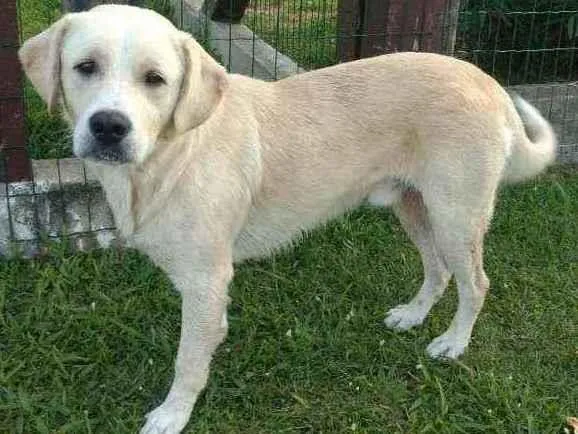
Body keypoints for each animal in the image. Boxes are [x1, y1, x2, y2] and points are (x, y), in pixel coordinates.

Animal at [19, 5, 557, 433]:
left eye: (155, 79)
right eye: (85, 67)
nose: (109, 126)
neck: (170, 155)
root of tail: (486, 79)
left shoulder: (204, 278)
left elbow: (187, 360)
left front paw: (174, 414)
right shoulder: (209, 285)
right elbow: (208, 335)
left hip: (455, 214)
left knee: (477, 283)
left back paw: (453, 343)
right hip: (414, 207)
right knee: (439, 270)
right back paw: (413, 314)